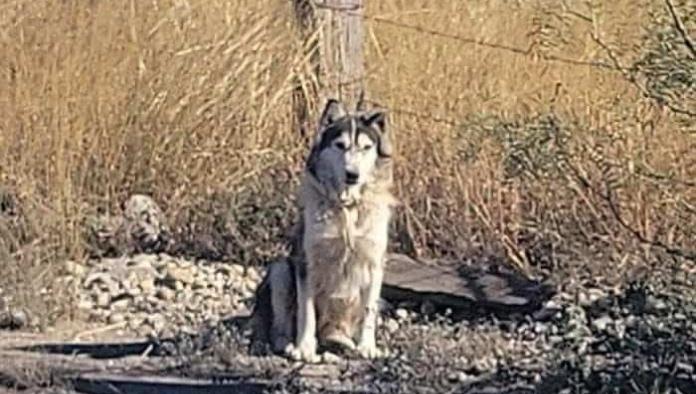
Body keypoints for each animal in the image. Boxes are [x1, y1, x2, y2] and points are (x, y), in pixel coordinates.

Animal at [250, 99, 394, 364]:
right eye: (340, 145)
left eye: (366, 147)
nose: (353, 175)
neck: (347, 207)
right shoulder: (307, 262)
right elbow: (306, 311)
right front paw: (305, 348)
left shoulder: (375, 263)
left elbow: (368, 311)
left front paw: (367, 346)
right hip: (280, 269)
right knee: (280, 326)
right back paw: (288, 344)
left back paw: (344, 342)